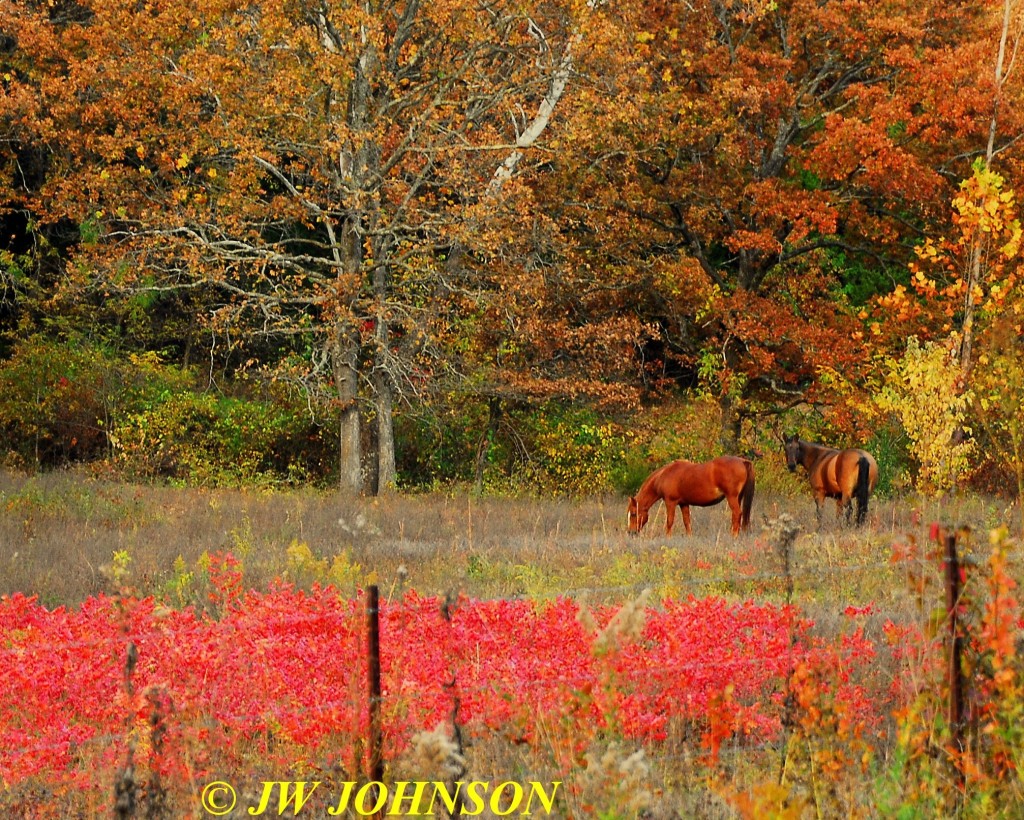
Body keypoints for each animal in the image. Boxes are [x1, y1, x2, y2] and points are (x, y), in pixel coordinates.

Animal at [618, 454, 757, 536]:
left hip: (732, 497)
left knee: (737, 514)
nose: (631, 532)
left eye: (634, 514)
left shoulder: (670, 502)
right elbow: (687, 523)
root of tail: (743, 461)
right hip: (738, 498)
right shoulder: (684, 504)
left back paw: (733, 536)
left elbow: (669, 522)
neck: (664, 475)